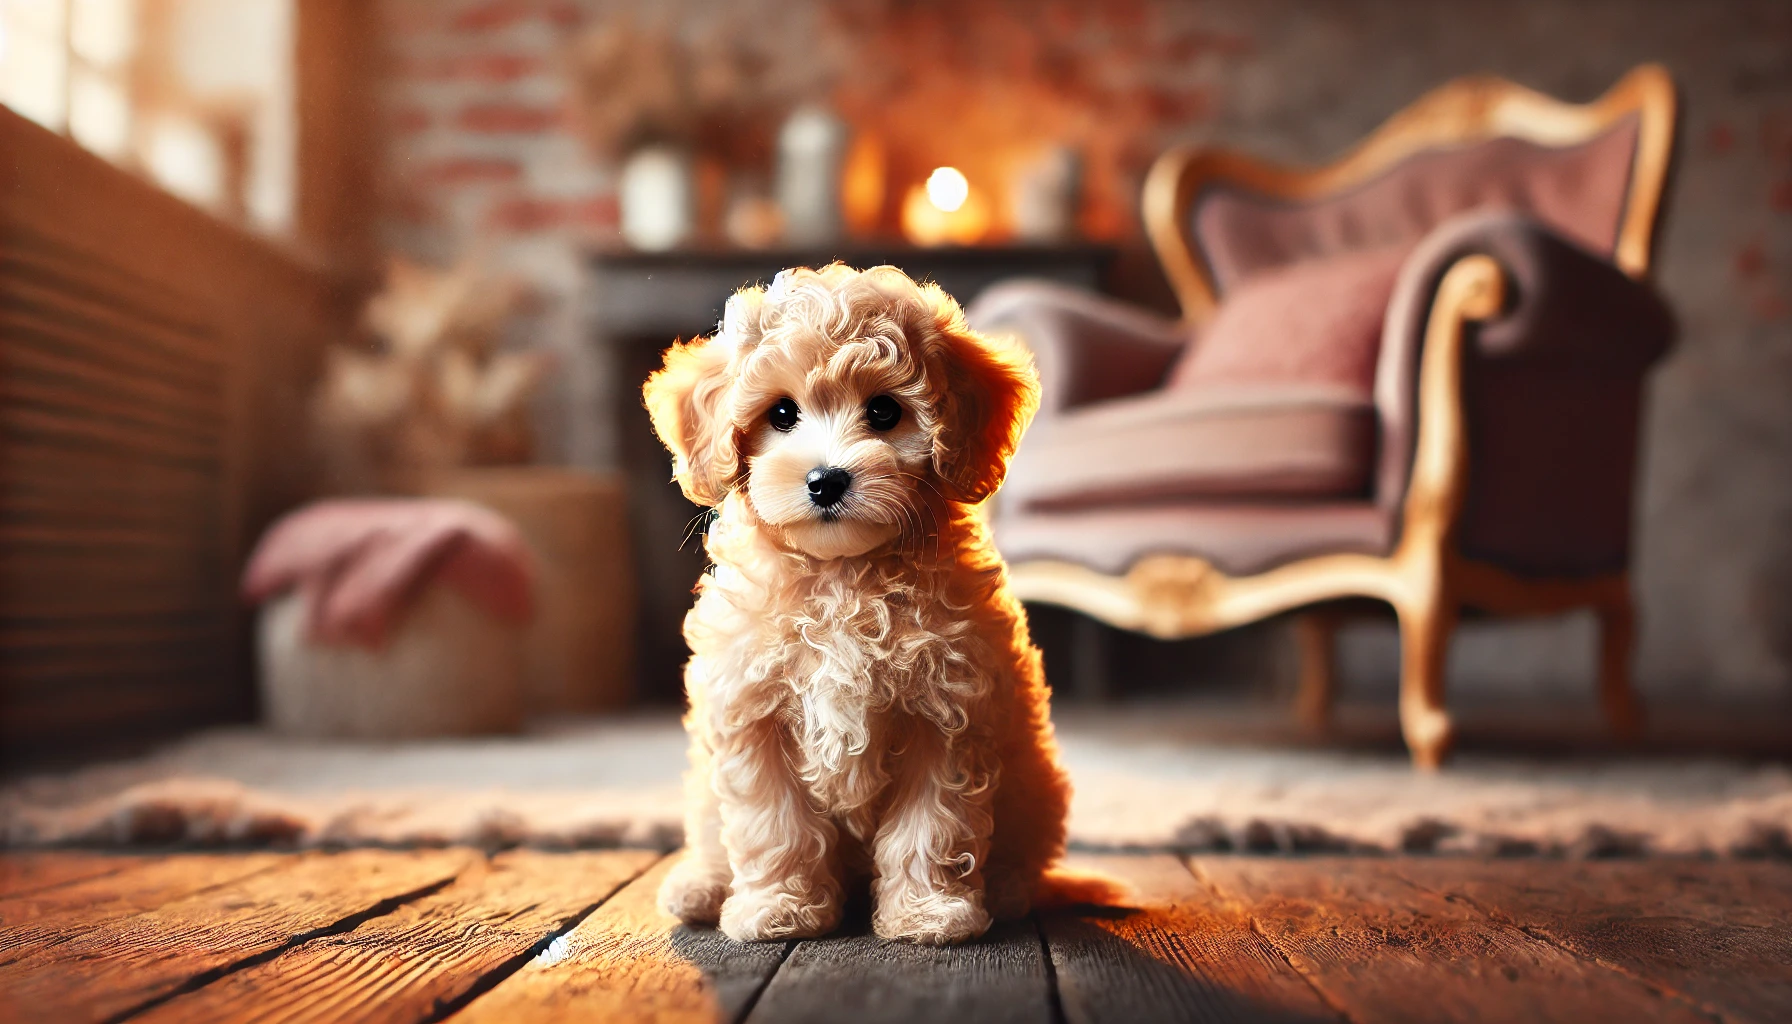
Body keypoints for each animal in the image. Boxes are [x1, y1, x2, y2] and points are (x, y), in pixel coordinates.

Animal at [645, 263, 1075, 946]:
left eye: (884, 411)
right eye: (782, 413)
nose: (826, 480)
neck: (843, 576)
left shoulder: (947, 713)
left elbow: (931, 825)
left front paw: (929, 913)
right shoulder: (752, 713)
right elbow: (774, 826)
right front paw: (777, 908)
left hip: (1035, 786)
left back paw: (1007, 889)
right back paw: (701, 887)